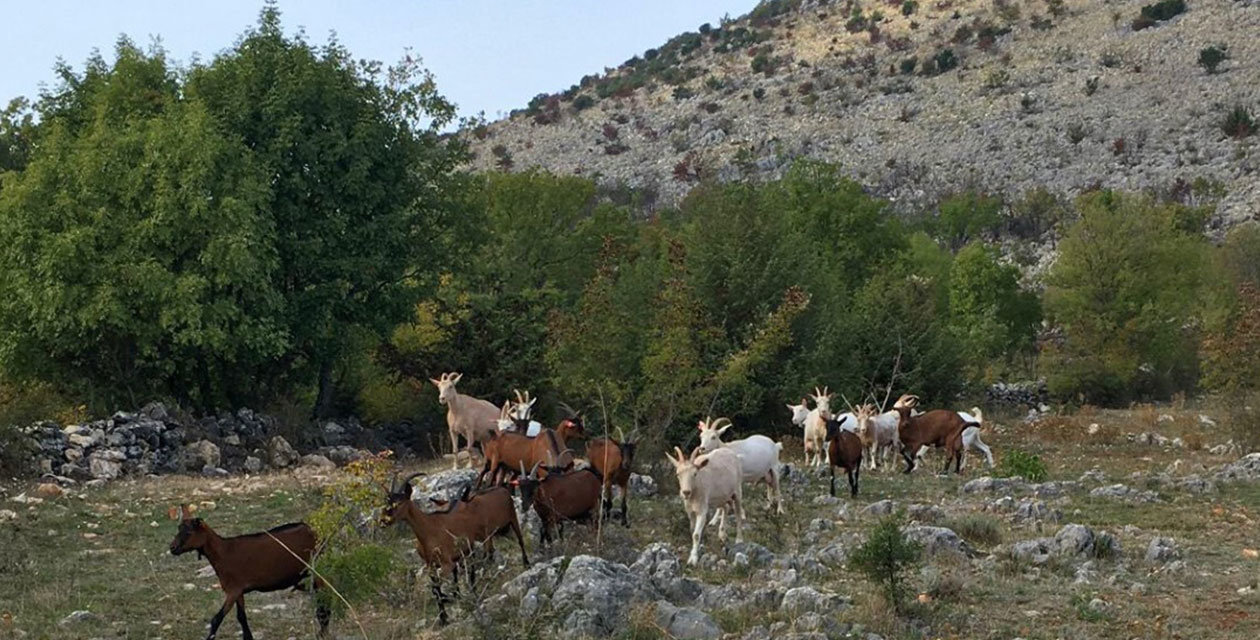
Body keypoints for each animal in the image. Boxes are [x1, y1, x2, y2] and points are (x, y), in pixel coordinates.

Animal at [168, 503, 330, 640]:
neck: (223, 552)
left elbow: (216, 619)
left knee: (324, 603)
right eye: (178, 529)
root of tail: (314, 531)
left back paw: (323, 633)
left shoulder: (233, 590)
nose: (172, 548)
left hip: (316, 570)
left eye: (188, 532)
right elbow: (241, 617)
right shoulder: (238, 590)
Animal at [378, 471, 526, 624]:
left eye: (399, 502)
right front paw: (444, 615)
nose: (383, 520)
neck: (428, 529)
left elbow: (436, 588)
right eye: (387, 501)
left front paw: (445, 614)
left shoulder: (446, 563)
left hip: (497, 529)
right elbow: (435, 589)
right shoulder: (431, 565)